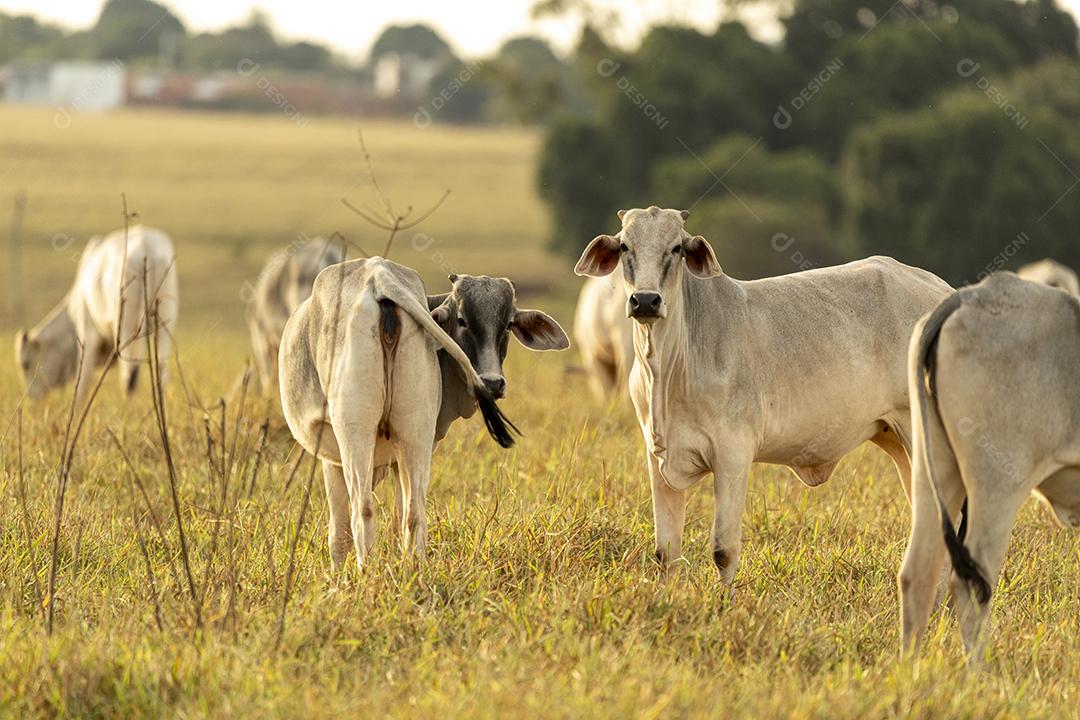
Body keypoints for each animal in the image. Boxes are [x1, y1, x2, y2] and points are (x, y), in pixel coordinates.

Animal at [13, 225, 178, 405]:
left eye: (25, 364)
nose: (31, 400)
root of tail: (146, 247)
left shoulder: (87, 332)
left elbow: (82, 384)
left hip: (126, 326)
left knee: (128, 375)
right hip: (163, 323)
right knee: (161, 372)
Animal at [278, 259, 570, 569]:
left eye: (509, 324)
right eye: (462, 320)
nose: (492, 383)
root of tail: (379, 276)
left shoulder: (331, 454)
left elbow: (339, 533)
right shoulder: (399, 456)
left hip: (355, 432)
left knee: (363, 513)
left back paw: (365, 576)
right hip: (415, 433)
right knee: (414, 513)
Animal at [578, 208, 950, 578]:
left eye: (677, 248)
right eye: (624, 246)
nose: (645, 300)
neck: (667, 369)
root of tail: (940, 289)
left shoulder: (733, 454)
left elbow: (723, 551)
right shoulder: (658, 461)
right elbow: (665, 553)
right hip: (894, 437)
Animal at [894, 274, 1080, 664]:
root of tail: (970, 295)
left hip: (934, 472)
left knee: (917, 573)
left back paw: (909, 671)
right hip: (997, 485)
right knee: (971, 582)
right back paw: (979, 675)